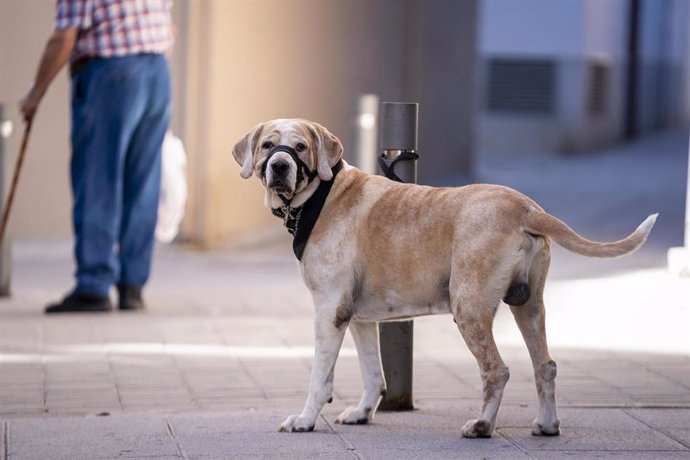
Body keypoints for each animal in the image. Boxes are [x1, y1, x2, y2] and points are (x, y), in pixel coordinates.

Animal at [231, 117, 656, 434]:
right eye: (267, 145)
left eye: (300, 147)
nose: (280, 166)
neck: (322, 196)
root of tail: (525, 207)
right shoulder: (358, 318)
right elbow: (372, 371)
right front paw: (363, 412)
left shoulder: (328, 312)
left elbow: (320, 377)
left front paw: (304, 420)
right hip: (530, 306)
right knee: (545, 366)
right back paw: (547, 424)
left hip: (468, 308)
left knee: (497, 370)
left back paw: (483, 425)